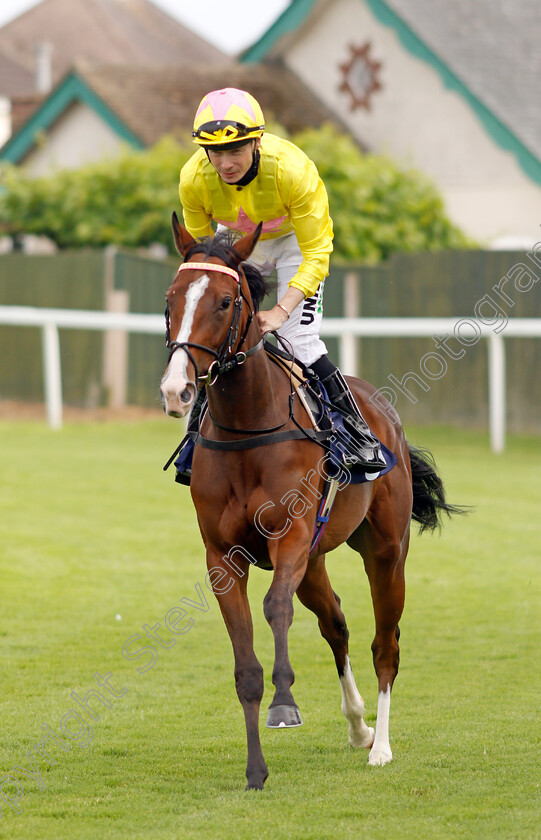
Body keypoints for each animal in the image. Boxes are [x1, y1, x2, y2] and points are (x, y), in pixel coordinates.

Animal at [160, 213, 460, 792]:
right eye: (171, 299)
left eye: (226, 302)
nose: (176, 391)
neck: (248, 428)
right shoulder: (224, 558)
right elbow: (246, 668)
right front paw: (256, 770)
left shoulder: (291, 537)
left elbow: (275, 608)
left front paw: (285, 705)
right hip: (316, 560)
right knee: (336, 623)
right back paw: (359, 727)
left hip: (385, 552)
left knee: (385, 643)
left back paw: (380, 746)